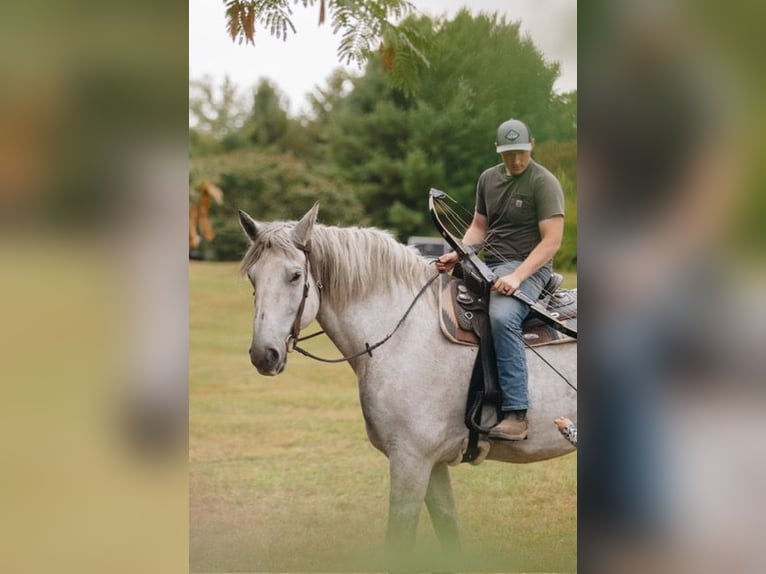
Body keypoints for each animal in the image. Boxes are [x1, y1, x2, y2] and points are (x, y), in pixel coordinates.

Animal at [240, 206, 576, 572]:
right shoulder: (433, 464)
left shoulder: (410, 460)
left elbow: (399, 540)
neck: (402, 331)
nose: (263, 354)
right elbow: (448, 531)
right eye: (252, 277)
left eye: (295, 275)